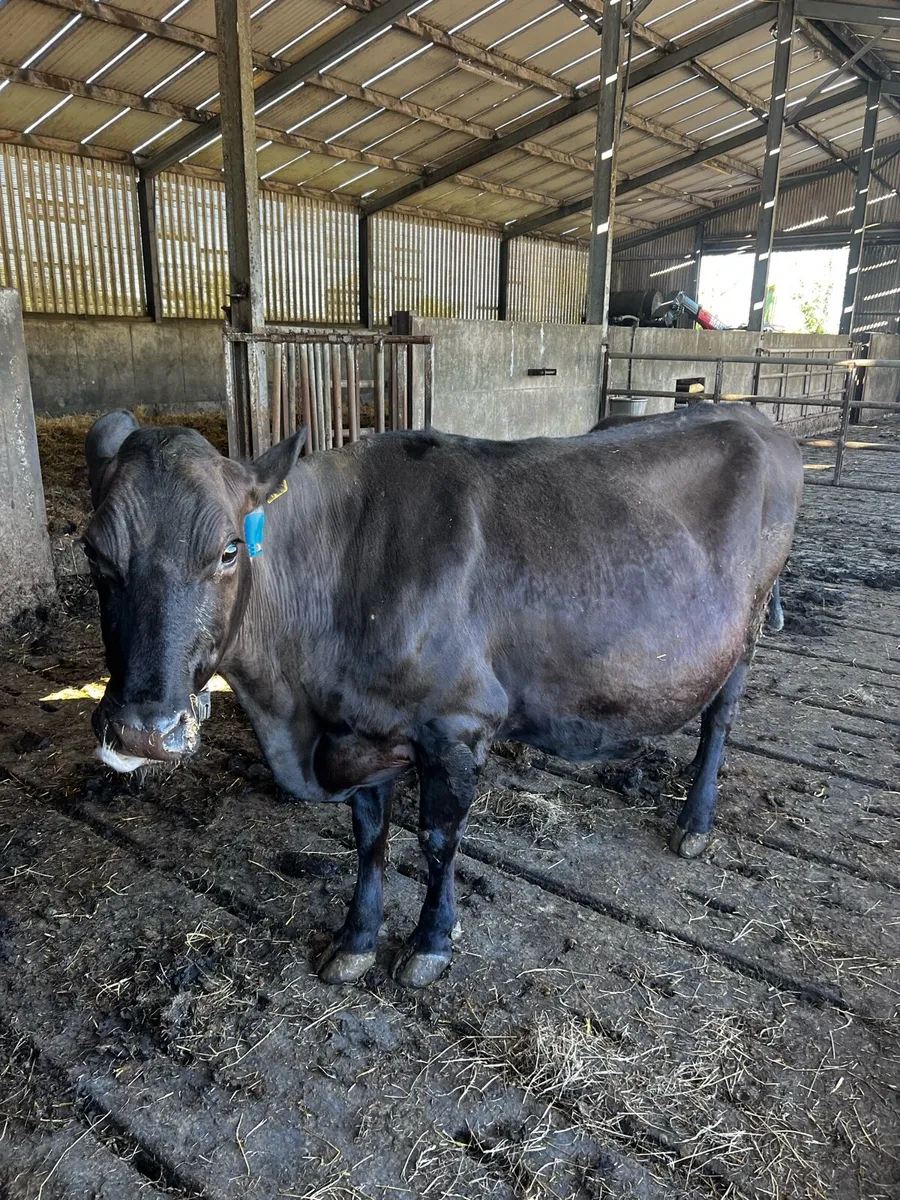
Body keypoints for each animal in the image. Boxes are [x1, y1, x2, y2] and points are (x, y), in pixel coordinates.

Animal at [83, 404, 803, 988]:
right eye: (93, 551)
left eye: (230, 549)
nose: (144, 729)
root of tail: (756, 419)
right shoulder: (361, 728)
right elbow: (369, 838)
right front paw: (355, 940)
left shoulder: (456, 725)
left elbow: (436, 839)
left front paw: (430, 945)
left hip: (746, 628)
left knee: (720, 719)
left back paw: (695, 823)